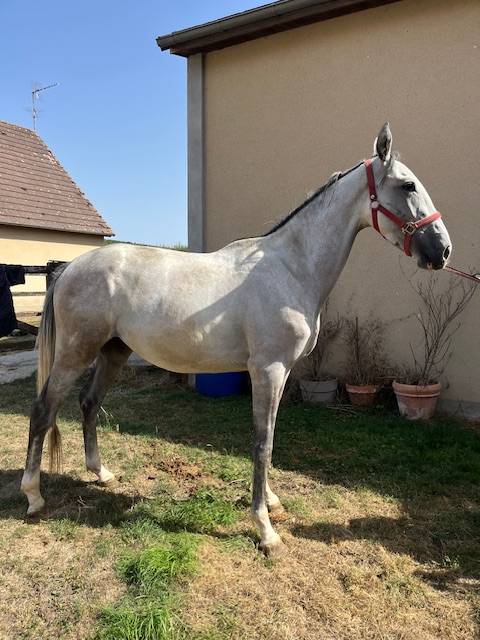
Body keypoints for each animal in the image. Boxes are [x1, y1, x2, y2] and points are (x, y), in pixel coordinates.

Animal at [21, 123, 452, 557]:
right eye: (408, 185)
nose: (443, 250)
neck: (291, 268)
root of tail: (71, 267)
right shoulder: (268, 370)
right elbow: (262, 442)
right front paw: (265, 529)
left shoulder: (282, 372)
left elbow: (271, 438)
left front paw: (273, 503)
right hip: (75, 353)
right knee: (43, 410)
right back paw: (34, 496)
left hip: (113, 352)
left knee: (88, 403)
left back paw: (101, 474)